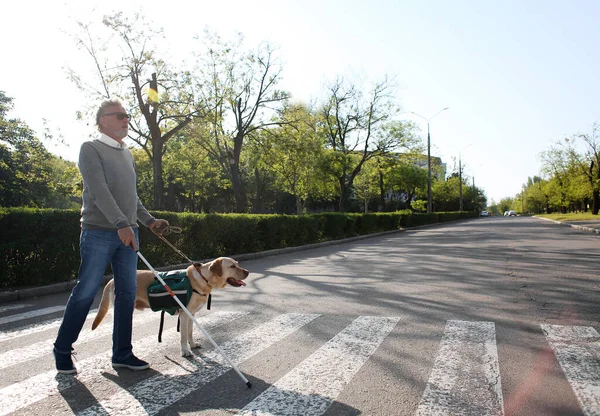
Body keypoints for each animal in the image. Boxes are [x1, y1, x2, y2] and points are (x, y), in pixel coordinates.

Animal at [91, 256, 248, 358]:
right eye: (232, 266)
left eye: (237, 263)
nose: (246, 272)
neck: (204, 279)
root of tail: (111, 280)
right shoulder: (184, 315)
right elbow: (183, 335)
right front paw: (185, 351)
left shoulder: (191, 315)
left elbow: (190, 332)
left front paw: (192, 345)